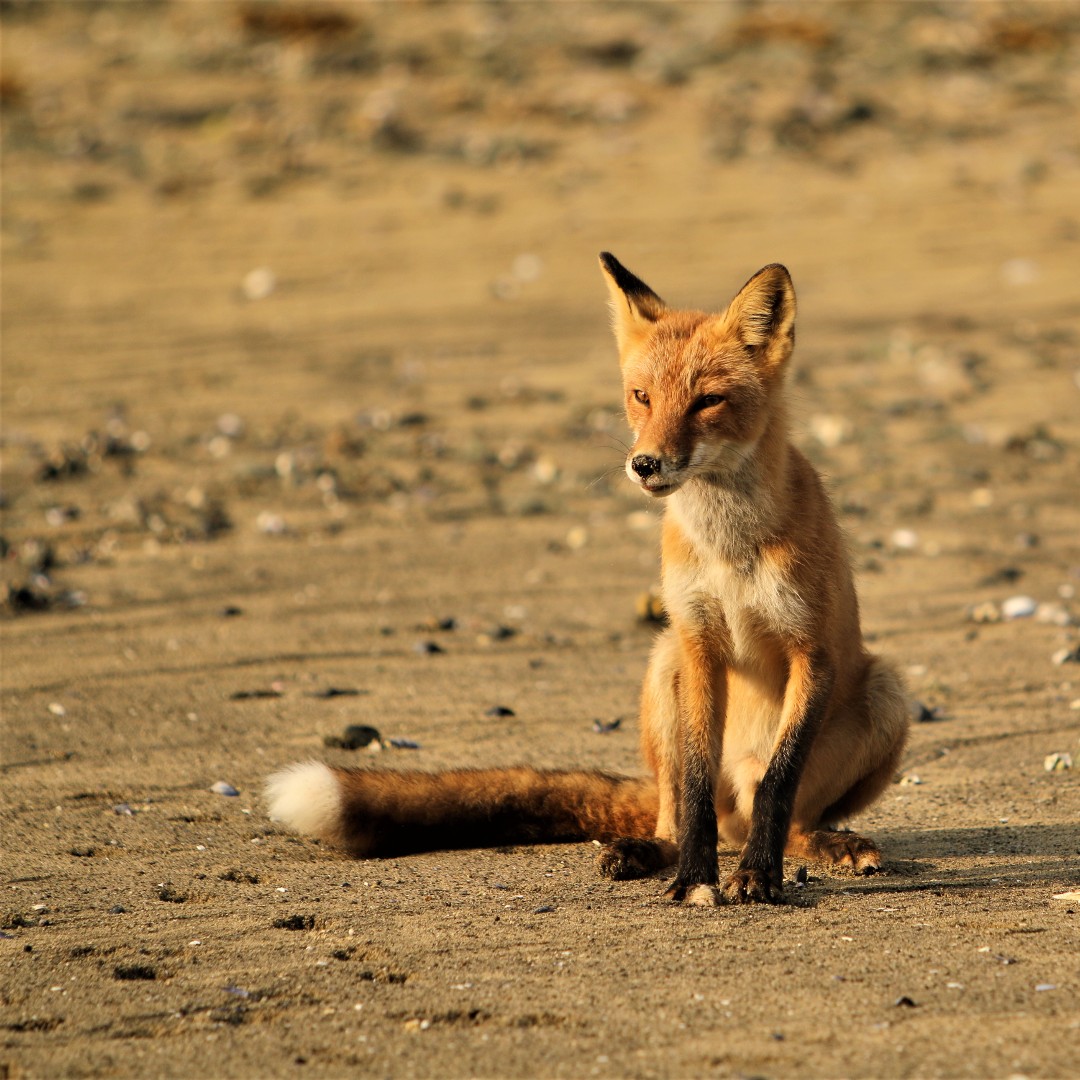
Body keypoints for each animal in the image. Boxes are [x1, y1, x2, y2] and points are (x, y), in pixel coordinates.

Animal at [265, 254, 909, 905]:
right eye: (642, 396)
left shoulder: (812, 650)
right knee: (679, 813)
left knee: (783, 812)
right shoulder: (698, 640)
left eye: (708, 401)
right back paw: (654, 853)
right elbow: (695, 784)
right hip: (664, 661)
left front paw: (757, 875)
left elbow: (780, 782)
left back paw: (823, 845)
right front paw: (695, 879)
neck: (732, 552)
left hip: (886, 691)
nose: (644, 464)